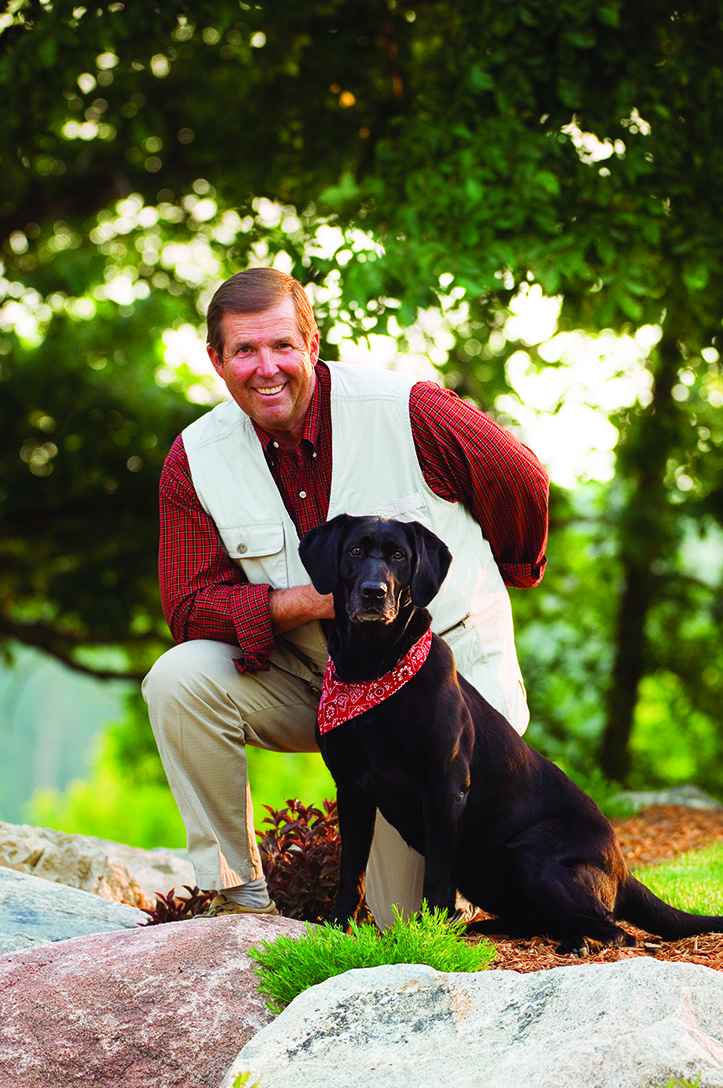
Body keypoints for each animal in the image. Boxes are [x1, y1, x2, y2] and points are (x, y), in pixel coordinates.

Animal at [297, 511, 721, 953]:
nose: (373, 593)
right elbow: (351, 873)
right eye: (354, 551)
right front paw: (337, 930)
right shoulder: (352, 789)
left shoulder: (444, 787)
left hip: (530, 853)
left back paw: (575, 941)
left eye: (398, 556)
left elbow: (436, 875)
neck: (372, 670)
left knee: (616, 930)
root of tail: (623, 868)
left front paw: (425, 935)